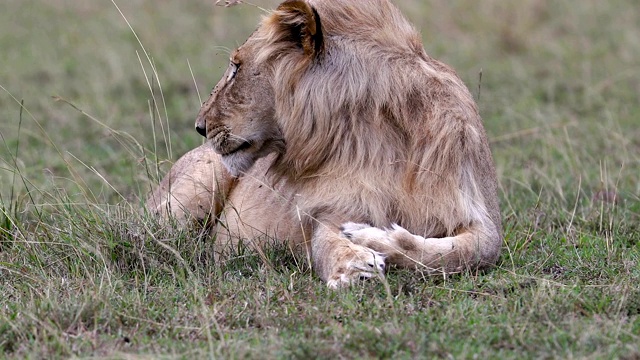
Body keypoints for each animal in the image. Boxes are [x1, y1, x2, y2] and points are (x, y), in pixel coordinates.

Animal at [145, 0, 500, 288]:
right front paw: (353, 265)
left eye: (236, 67)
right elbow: (329, 242)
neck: (380, 138)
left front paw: (376, 239)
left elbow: (469, 253)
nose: (199, 127)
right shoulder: (333, 207)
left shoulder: (478, 208)